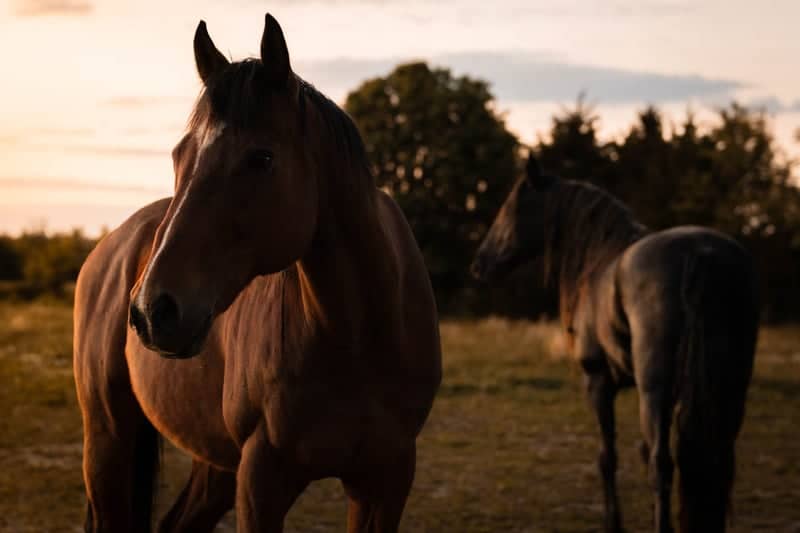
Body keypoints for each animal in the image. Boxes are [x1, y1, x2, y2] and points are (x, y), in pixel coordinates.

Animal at [73, 14, 441, 533]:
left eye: (261, 158)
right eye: (179, 155)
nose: (151, 311)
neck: (357, 340)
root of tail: (110, 247)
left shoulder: (385, 483)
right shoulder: (261, 481)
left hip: (214, 463)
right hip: (108, 440)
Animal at [471, 154, 758, 533]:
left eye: (509, 208)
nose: (479, 264)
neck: (598, 262)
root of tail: (701, 253)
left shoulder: (599, 382)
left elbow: (608, 456)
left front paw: (613, 523)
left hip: (656, 391)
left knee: (662, 465)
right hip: (728, 389)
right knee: (716, 460)